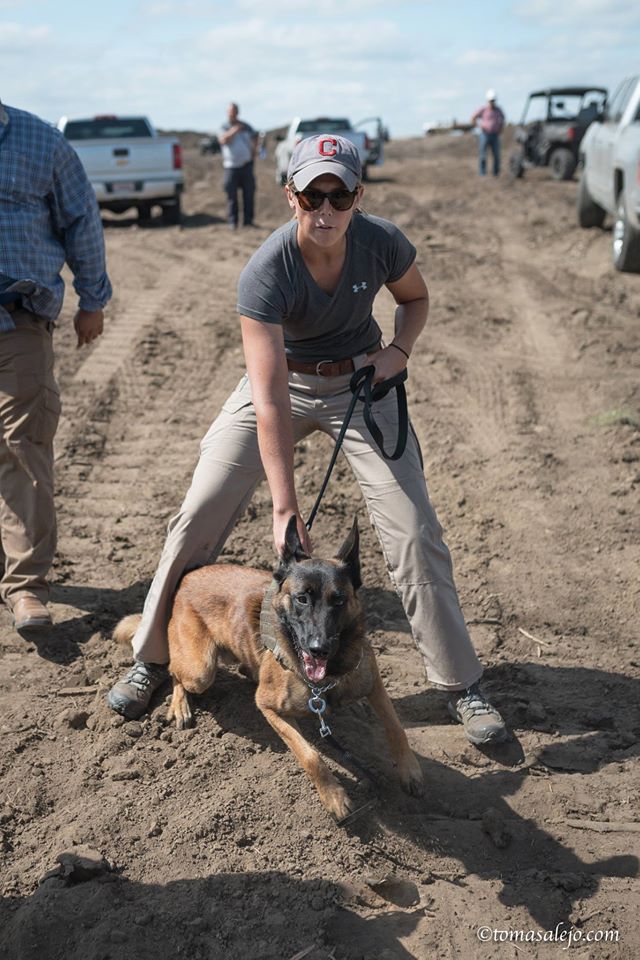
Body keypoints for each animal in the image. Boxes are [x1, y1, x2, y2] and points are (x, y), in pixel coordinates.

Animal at [115, 516, 424, 816]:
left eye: (339, 600)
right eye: (302, 598)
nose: (318, 648)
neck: (328, 677)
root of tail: (188, 575)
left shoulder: (373, 683)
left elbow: (395, 726)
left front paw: (410, 771)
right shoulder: (269, 708)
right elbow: (310, 755)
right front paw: (334, 797)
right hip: (200, 671)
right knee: (175, 672)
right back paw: (180, 705)